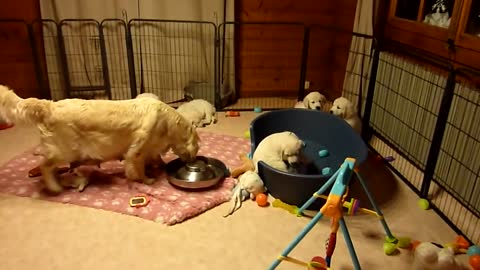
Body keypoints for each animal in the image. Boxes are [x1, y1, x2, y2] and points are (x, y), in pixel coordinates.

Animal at [0, 85, 199, 193]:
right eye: (197, 147)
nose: (194, 159)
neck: (167, 122)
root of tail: (48, 105)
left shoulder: (150, 148)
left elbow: (155, 158)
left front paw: (158, 166)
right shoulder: (137, 150)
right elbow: (137, 168)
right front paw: (146, 180)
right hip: (64, 151)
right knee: (45, 166)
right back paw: (54, 187)